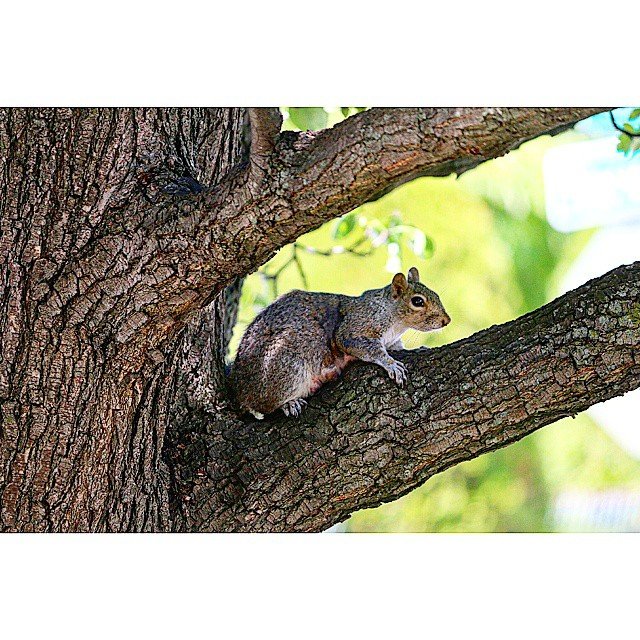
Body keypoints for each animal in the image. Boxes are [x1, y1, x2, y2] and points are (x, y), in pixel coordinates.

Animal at [230, 267, 450, 419]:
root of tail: (241, 391)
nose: (446, 321)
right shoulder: (354, 328)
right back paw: (289, 403)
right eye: (417, 301)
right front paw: (391, 364)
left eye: (437, 294)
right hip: (288, 362)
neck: (395, 321)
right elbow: (370, 349)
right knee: (265, 404)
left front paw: (419, 348)